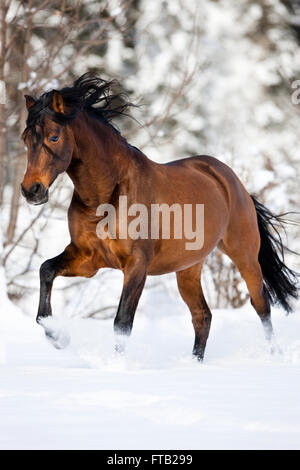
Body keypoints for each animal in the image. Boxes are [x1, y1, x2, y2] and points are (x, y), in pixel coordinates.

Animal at [20, 73, 298, 360]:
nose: (31, 190)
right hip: (188, 269)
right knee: (202, 316)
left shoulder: (136, 265)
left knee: (261, 305)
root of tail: (231, 180)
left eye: (54, 137)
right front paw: (57, 336)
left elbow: (122, 322)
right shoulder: (87, 258)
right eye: (25, 139)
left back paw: (274, 355)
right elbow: (46, 270)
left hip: (244, 257)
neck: (107, 197)